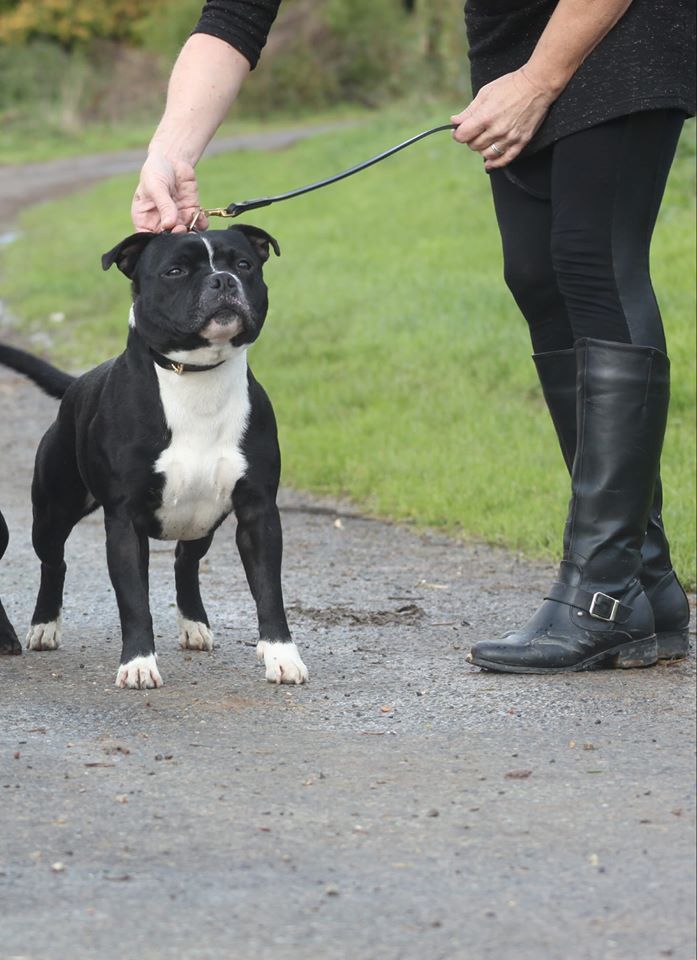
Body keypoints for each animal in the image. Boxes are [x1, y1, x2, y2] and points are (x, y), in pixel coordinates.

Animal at [0, 223, 308, 688]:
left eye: (243, 264)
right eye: (175, 270)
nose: (222, 281)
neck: (196, 379)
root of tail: (78, 383)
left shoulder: (258, 513)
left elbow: (269, 590)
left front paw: (281, 656)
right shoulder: (125, 521)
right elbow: (133, 601)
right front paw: (139, 664)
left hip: (202, 518)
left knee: (185, 561)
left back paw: (195, 625)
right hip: (52, 512)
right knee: (54, 562)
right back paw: (44, 627)